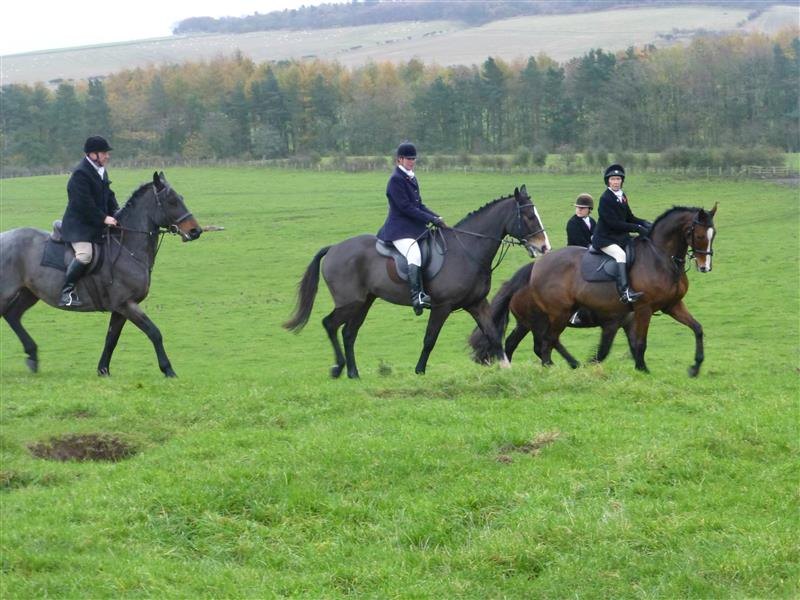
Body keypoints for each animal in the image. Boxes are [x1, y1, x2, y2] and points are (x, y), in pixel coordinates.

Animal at [0, 172, 203, 377]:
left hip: (29, 293)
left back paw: (32, 356)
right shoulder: (126, 304)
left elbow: (111, 338)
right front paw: (168, 369)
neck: (127, 247)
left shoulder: (120, 308)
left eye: (181, 198)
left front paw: (103, 370)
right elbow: (154, 332)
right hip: (7, 293)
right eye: (172, 201)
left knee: (12, 316)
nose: (196, 231)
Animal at [283, 186, 551, 378]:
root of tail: (333, 248)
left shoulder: (476, 303)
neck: (467, 250)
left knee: (349, 333)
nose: (544, 247)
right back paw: (338, 368)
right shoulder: (442, 307)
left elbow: (493, 334)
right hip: (350, 302)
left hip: (364, 302)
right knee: (330, 324)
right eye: (528, 216)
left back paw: (353, 373)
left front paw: (506, 368)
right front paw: (420, 370)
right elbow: (430, 339)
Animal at [468, 261, 634, 367]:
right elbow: (603, 351)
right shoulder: (611, 324)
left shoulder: (628, 322)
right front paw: (591, 366)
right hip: (542, 321)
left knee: (514, 343)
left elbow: (634, 346)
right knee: (545, 343)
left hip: (525, 324)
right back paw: (568, 364)